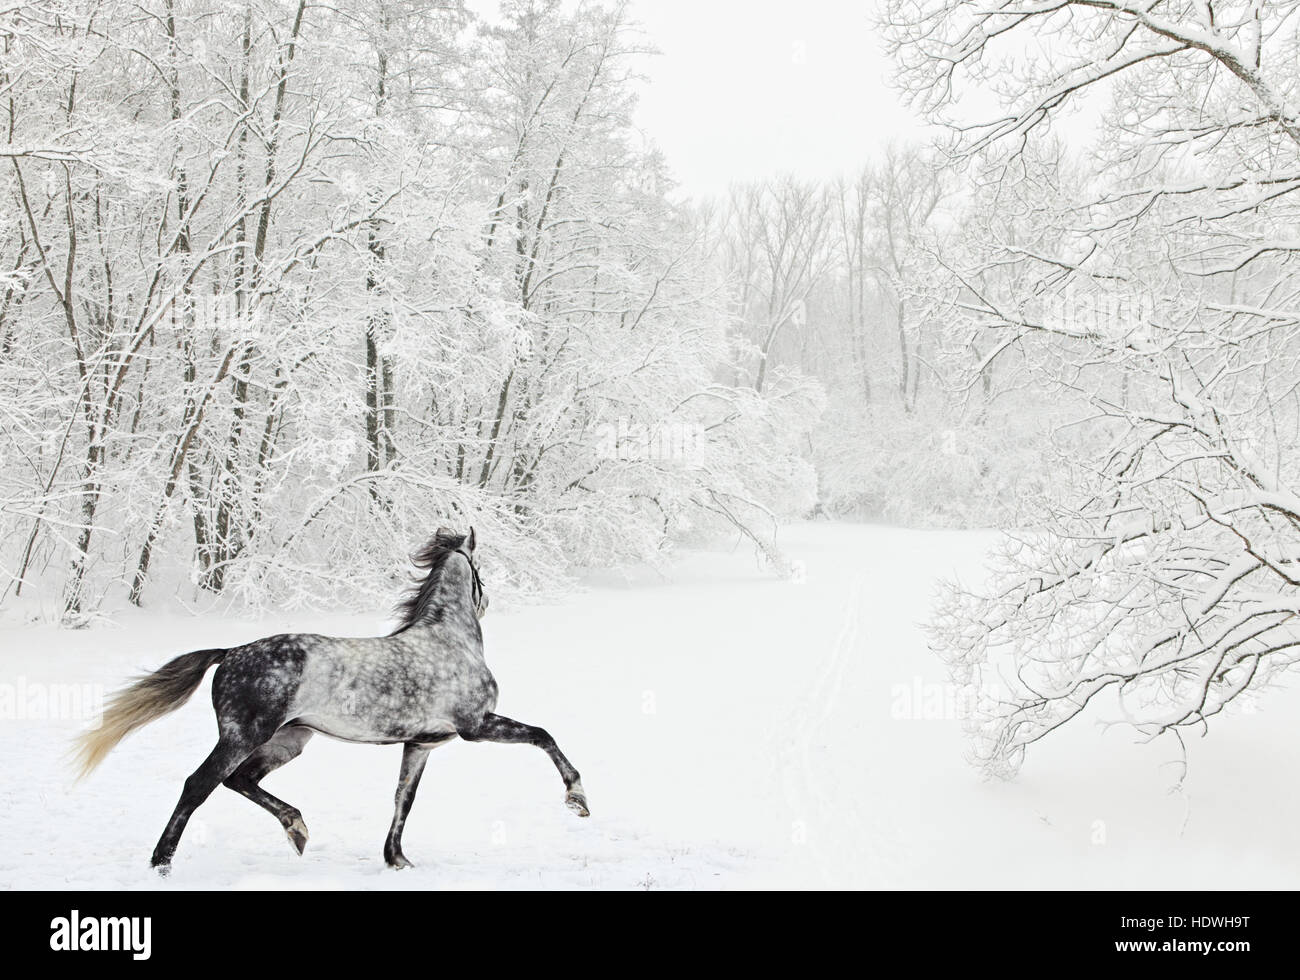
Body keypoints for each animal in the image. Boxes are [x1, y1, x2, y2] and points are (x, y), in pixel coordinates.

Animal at [71, 527, 589, 873]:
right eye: (479, 572)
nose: (486, 600)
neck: (449, 641)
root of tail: (230, 653)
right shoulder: (476, 726)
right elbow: (543, 735)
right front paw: (577, 799)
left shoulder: (421, 744)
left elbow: (404, 799)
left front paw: (397, 860)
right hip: (244, 736)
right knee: (199, 785)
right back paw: (161, 863)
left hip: (289, 741)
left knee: (240, 781)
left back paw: (297, 830)